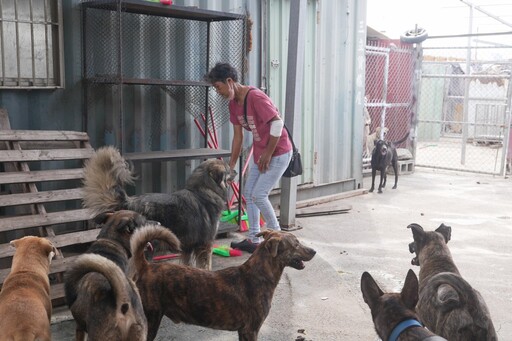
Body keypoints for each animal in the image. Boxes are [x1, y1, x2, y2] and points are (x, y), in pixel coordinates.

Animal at [82, 145, 230, 270]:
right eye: (227, 169)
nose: (233, 170)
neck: (204, 190)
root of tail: (129, 202)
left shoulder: (187, 247)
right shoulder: (206, 245)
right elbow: (206, 266)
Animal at [128, 224, 316, 338]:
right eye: (296, 244)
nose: (314, 251)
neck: (258, 274)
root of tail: (146, 266)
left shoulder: (243, 331)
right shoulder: (251, 330)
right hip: (151, 320)